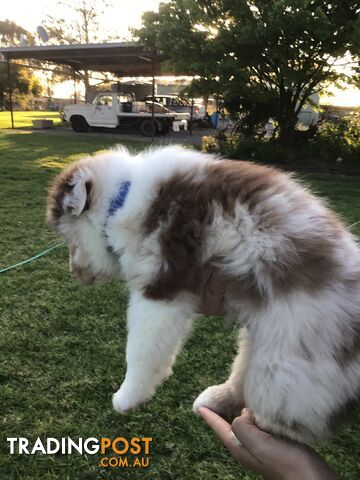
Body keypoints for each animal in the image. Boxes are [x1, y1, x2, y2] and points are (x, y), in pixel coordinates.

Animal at [47, 145, 360, 442]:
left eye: (70, 241)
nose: (73, 273)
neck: (123, 198)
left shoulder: (160, 286)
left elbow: (141, 350)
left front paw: (127, 396)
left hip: (288, 360)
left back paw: (263, 425)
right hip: (261, 340)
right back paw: (217, 398)